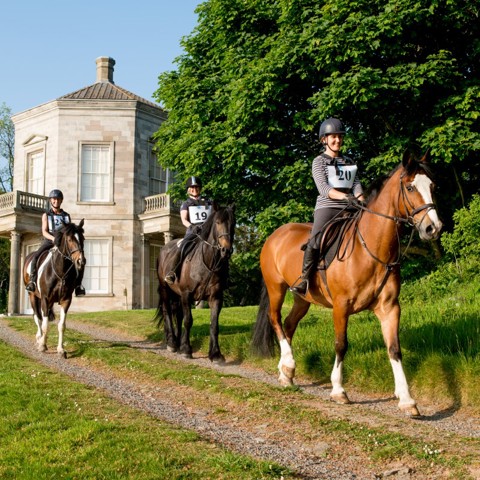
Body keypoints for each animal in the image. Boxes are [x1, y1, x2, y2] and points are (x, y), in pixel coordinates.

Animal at [22, 219, 86, 358]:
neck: (60, 272)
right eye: (69, 239)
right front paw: (42, 345)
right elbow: (45, 324)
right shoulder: (45, 299)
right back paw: (39, 338)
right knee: (38, 317)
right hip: (33, 296)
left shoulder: (66, 300)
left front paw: (61, 350)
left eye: (83, 238)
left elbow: (61, 325)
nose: (81, 261)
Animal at [155, 204, 235, 362]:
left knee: (177, 314)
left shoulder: (216, 297)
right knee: (168, 312)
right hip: (165, 289)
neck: (208, 262)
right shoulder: (186, 294)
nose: (226, 250)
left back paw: (177, 342)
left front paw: (215, 354)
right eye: (218, 222)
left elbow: (214, 324)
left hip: (177, 294)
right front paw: (186, 350)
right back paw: (172, 343)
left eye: (233, 223)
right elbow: (188, 320)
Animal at [251, 151, 442, 416]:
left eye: (432, 186)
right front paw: (339, 390)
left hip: (302, 298)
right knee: (275, 319)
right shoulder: (341, 307)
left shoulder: (390, 308)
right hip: (276, 288)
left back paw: (286, 373)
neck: (370, 248)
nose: (433, 228)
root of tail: (275, 235)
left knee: (289, 325)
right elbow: (341, 344)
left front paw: (407, 400)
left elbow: (394, 349)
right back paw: (288, 363)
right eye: (410, 187)